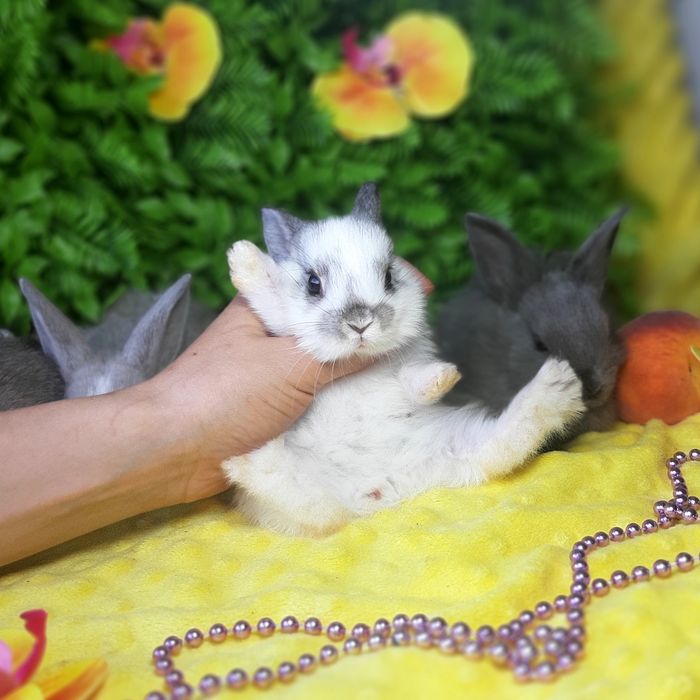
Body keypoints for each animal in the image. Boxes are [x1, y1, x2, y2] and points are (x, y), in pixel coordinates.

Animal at [222, 183, 586, 536]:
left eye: (388, 277)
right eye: (313, 283)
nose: (360, 323)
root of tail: (378, 493)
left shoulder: (402, 368)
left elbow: (413, 379)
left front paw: (445, 377)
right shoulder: (280, 322)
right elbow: (271, 299)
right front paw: (242, 256)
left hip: (457, 444)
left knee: (499, 449)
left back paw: (556, 387)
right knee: (310, 506)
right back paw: (246, 460)